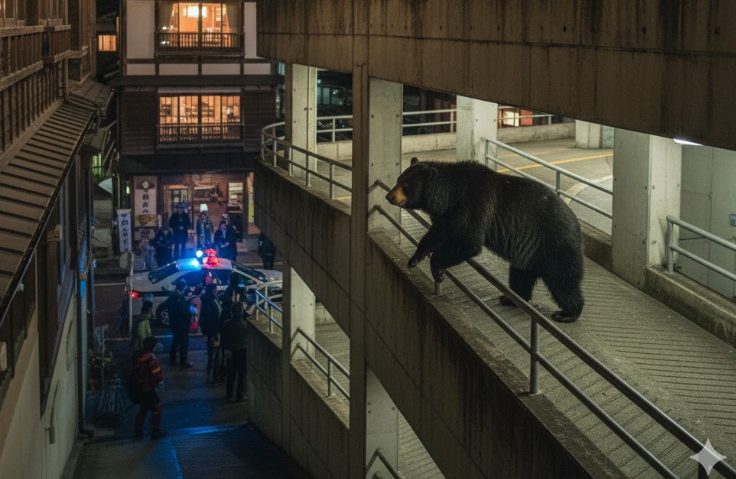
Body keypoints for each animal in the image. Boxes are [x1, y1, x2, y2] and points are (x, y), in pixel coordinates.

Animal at [385, 157, 584, 323]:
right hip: (528, 252)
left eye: (405, 184)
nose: (389, 196)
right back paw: (510, 298)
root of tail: (576, 225)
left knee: (563, 280)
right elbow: (436, 233)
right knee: (521, 275)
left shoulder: (474, 205)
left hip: (554, 243)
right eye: (398, 179)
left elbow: (468, 241)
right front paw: (414, 258)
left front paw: (438, 270)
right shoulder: (446, 215)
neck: (450, 194)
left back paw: (567, 313)